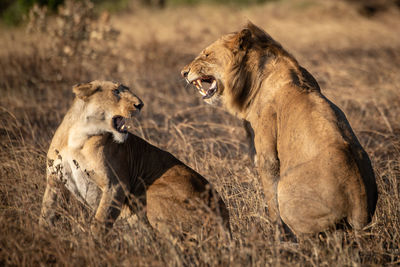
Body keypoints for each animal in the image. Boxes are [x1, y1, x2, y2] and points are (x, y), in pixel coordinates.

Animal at [39, 80, 231, 240]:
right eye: (116, 91)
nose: (140, 104)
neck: (79, 137)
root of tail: (225, 220)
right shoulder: (54, 180)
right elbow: (46, 213)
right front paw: (42, 238)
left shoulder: (116, 184)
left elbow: (101, 221)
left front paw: (92, 246)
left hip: (152, 193)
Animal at [182, 23, 378, 237]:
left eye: (207, 54)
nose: (183, 72)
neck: (252, 79)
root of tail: (358, 199)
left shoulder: (266, 155)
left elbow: (271, 196)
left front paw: (277, 236)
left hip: (288, 191)